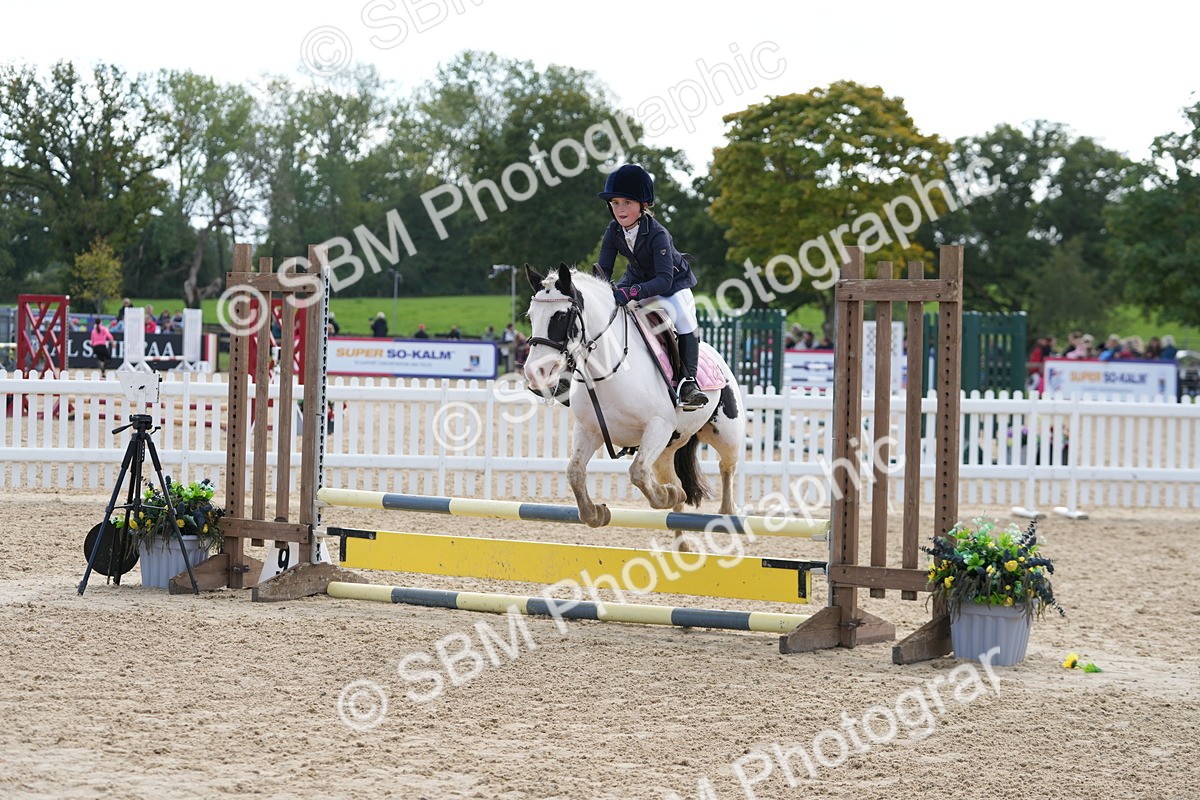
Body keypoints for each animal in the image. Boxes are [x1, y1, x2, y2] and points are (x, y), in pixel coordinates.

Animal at [522, 264, 745, 538]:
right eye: (531, 316)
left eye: (561, 317)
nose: (535, 372)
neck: (607, 369)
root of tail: (716, 354)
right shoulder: (590, 430)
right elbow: (574, 471)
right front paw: (596, 513)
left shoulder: (659, 426)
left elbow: (637, 472)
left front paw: (666, 495)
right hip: (667, 449)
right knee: (676, 482)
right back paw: (681, 532)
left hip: (726, 435)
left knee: (727, 468)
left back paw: (726, 515)